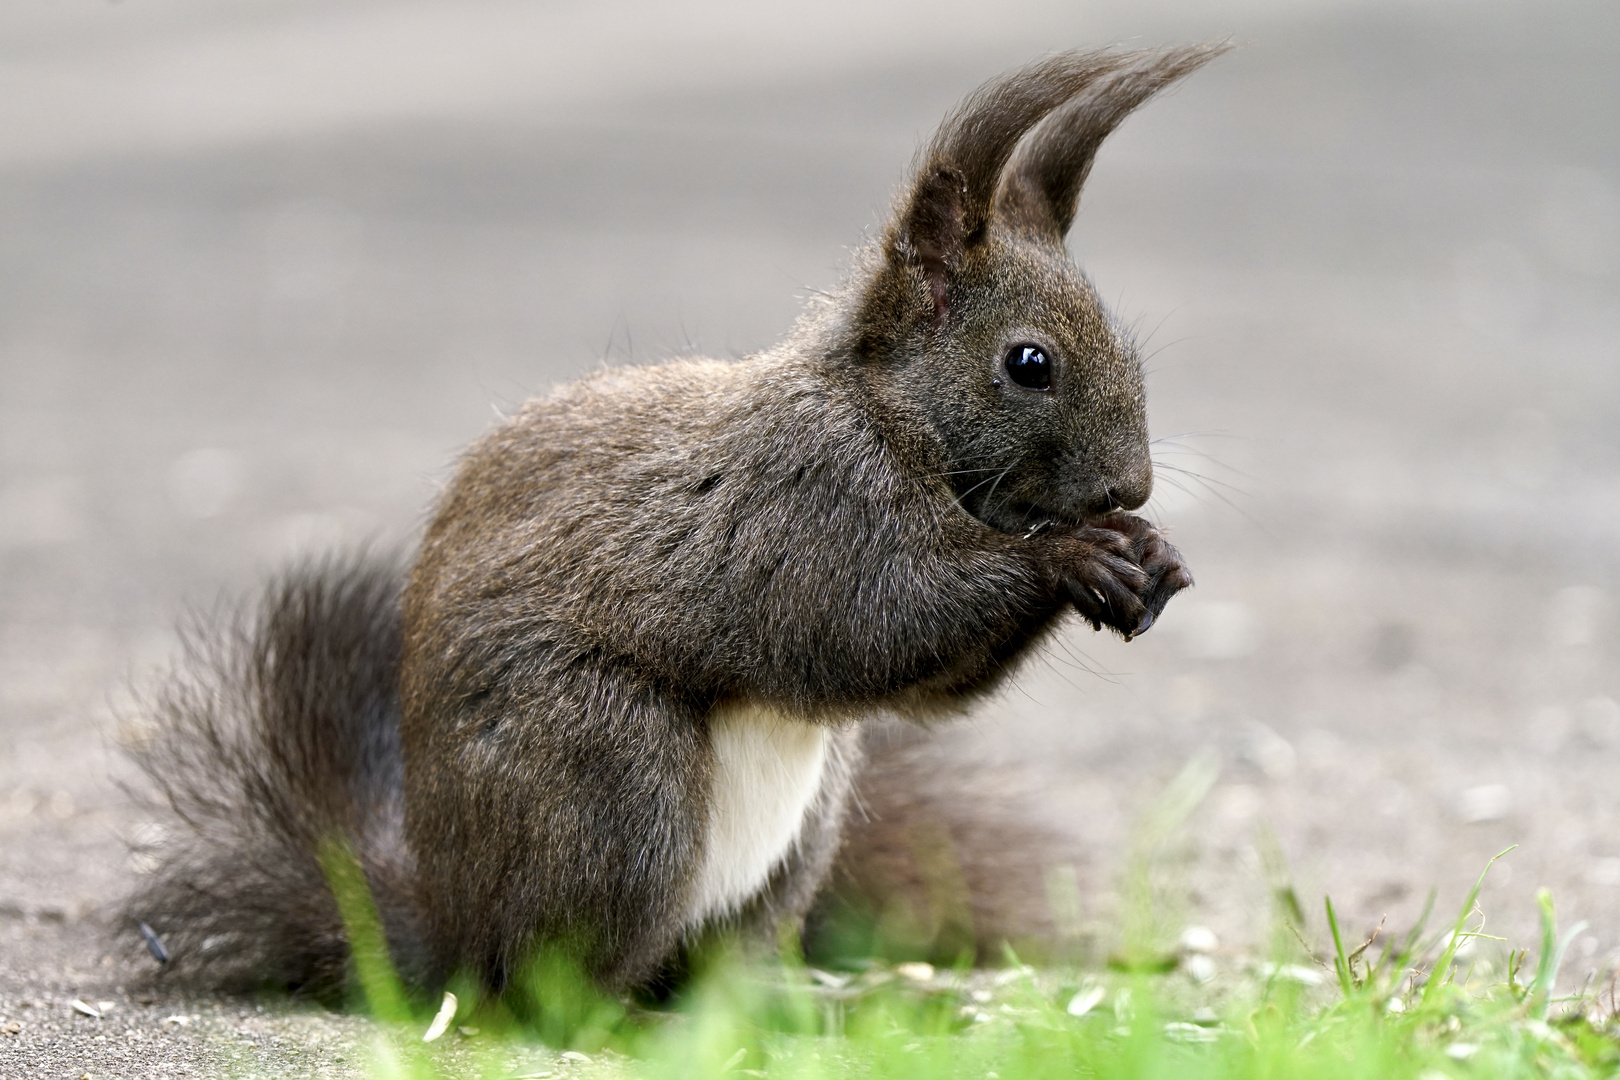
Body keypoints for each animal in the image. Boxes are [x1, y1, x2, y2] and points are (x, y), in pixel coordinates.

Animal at [126, 44, 1218, 1003]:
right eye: (1029, 363)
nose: (1131, 487)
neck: (880, 409)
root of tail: (445, 936)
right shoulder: (805, 503)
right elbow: (873, 624)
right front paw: (1075, 555)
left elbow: (929, 681)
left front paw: (1149, 554)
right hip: (612, 773)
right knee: (549, 987)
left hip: (805, 825)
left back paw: (778, 1004)